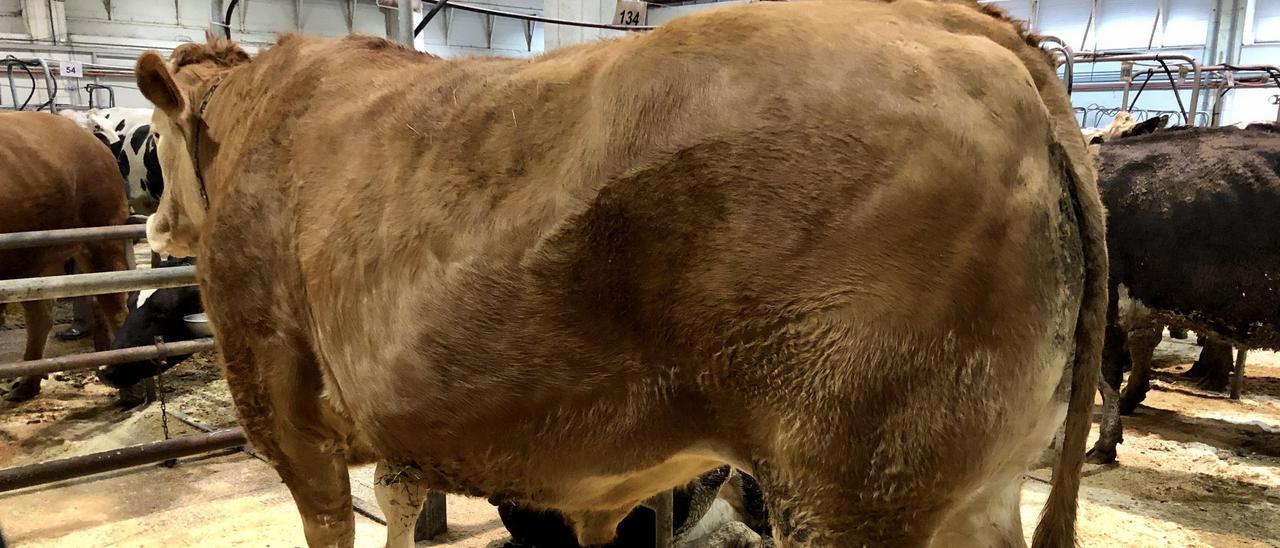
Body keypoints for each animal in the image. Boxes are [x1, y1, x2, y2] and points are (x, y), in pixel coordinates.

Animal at [132, 1, 1111, 548]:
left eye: (159, 142)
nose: (153, 222)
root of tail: (972, 24)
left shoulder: (285, 413)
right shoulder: (402, 427)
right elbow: (400, 504)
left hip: (851, 485)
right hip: (978, 486)